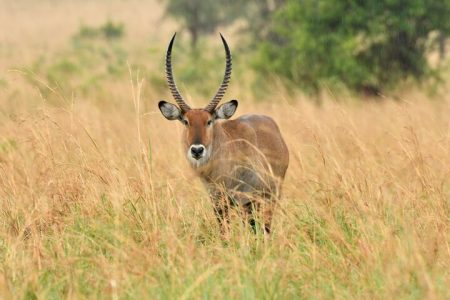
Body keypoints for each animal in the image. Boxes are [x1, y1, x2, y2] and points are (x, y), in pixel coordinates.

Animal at [158, 33, 290, 234]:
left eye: (209, 121)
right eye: (186, 121)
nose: (197, 150)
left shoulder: (245, 200)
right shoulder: (218, 202)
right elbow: (224, 231)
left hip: (268, 198)